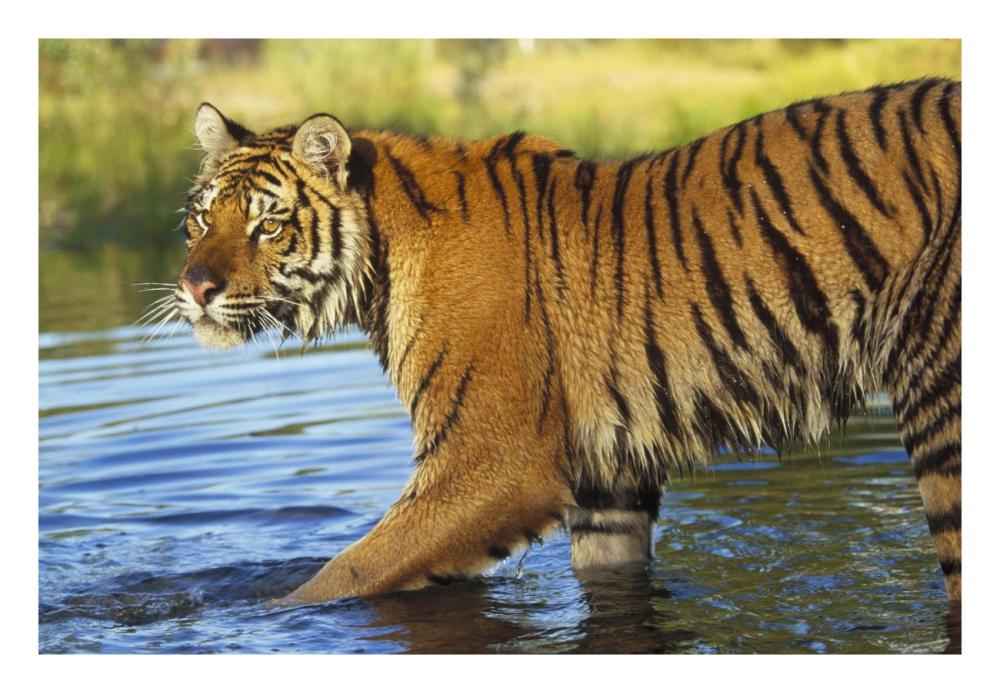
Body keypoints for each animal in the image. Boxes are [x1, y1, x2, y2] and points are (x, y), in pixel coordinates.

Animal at [173, 77, 961, 605]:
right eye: (201, 219)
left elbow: (344, 573)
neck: (379, 267)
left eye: (267, 225)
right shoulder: (610, 473)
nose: (195, 287)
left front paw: (264, 613)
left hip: (941, 397)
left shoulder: (493, 461)